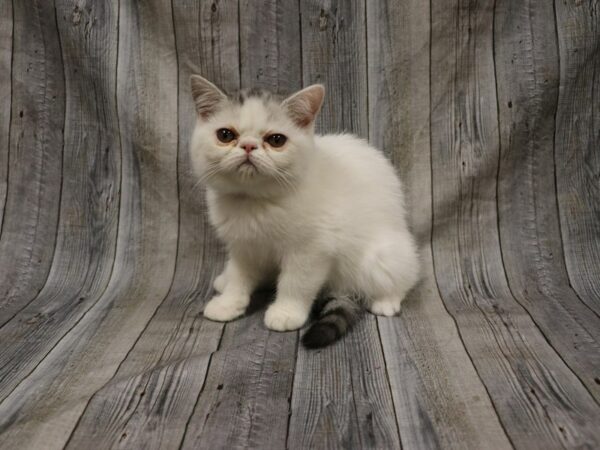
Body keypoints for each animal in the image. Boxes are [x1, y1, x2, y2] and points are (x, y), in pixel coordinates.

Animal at [190, 74, 420, 348]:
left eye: (276, 140)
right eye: (225, 135)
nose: (248, 146)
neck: (255, 202)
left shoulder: (312, 249)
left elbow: (296, 282)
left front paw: (286, 312)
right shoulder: (242, 246)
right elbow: (239, 276)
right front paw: (228, 302)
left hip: (382, 257)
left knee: (402, 276)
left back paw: (386, 301)